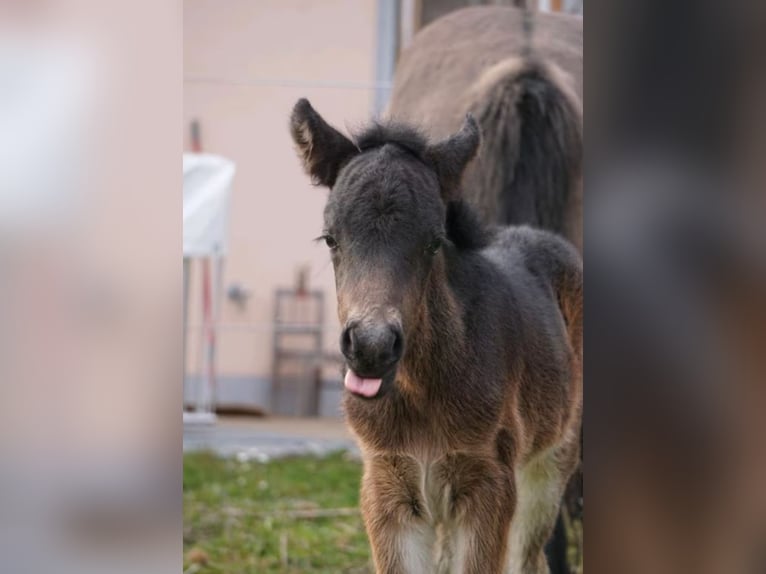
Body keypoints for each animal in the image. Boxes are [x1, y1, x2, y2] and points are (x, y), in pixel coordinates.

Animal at [289, 98, 583, 573]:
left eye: (433, 242)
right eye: (330, 239)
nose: (372, 348)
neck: (420, 394)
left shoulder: (488, 486)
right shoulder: (387, 488)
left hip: (549, 464)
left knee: (529, 557)